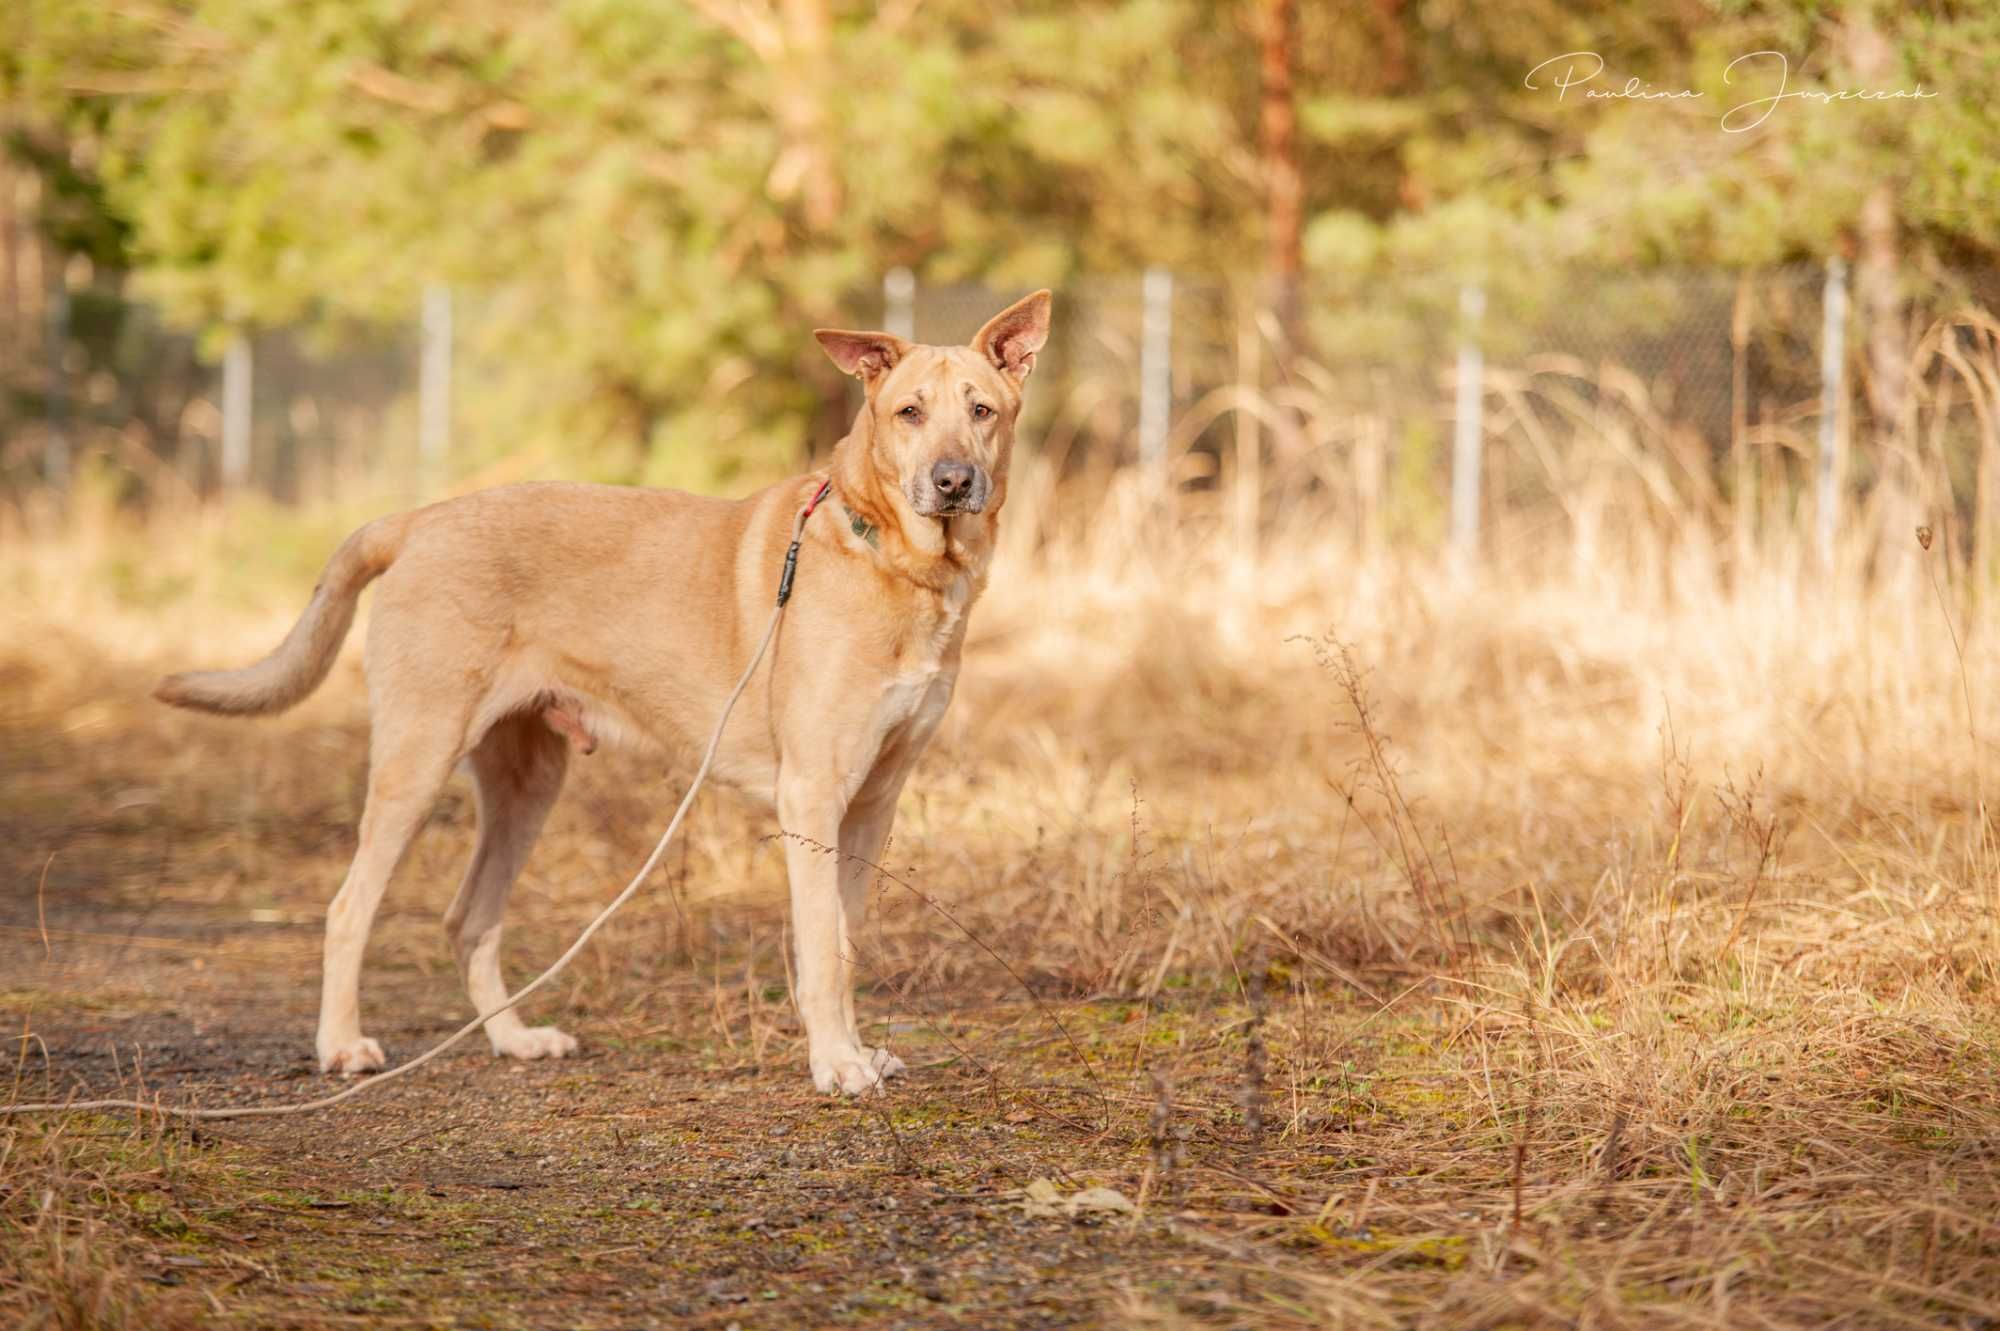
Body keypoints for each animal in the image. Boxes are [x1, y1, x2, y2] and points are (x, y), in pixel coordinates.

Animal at [160, 287, 1048, 1087]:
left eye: (981, 411)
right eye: (909, 412)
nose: (953, 480)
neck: (896, 559)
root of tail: (417, 520)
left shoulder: (873, 803)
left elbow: (845, 940)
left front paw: (856, 1051)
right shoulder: (814, 795)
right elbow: (821, 951)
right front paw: (835, 1063)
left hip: (527, 782)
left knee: (469, 917)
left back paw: (513, 1039)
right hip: (418, 759)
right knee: (350, 908)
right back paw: (342, 1045)